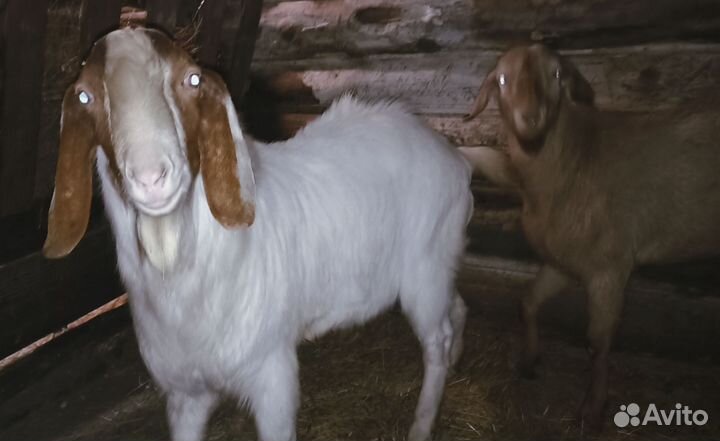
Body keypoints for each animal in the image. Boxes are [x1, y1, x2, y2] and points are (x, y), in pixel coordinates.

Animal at [43, 28, 474, 441]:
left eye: (192, 79)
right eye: (85, 96)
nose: (151, 177)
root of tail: (454, 156)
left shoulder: (272, 375)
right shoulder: (185, 393)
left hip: (424, 269)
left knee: (436, 339)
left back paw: (422, 423)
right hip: (441, 262)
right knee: (456, 308)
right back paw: (456, 361)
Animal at [463, 44, 720, 429]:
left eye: (556, 74)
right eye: (503, 79)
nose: (531, 117)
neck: (575, 161)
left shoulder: (608, 269)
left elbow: (596, 343)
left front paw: (593, 408)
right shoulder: (562, 262)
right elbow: (528, 303)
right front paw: (528, 360)